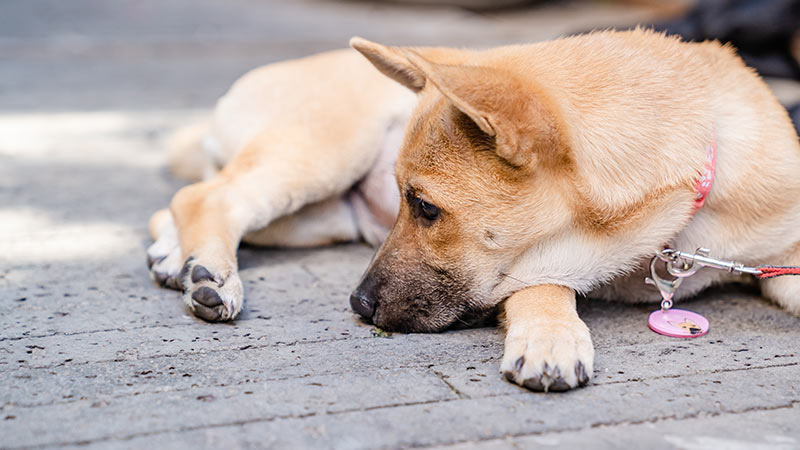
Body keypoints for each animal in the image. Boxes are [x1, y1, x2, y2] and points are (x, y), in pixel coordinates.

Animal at [147, 29, 800, 392]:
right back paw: (210, 274)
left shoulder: (783, 253)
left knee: (184, 200)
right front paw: (552, 338)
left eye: (425, 208)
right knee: (206, 193)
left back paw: (174, 256)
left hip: (321, 218)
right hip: (320, 154)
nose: (358, 306)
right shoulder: (536, 266)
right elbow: (544, 289)